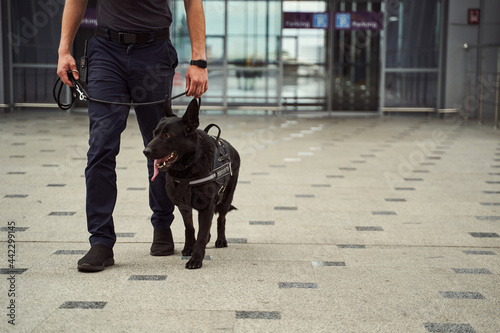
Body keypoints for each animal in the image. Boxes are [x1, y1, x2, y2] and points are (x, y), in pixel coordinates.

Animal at [143, 98, 240, 268]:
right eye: (155, 134)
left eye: (167, 135)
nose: (145, 152)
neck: (188, 169)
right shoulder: (183, 206)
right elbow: (190, 228)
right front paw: (189, 248)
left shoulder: (207, 207)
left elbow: (201, 234)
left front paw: (196, 259)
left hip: (226, 198)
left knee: (221, 218)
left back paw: (221, 239)